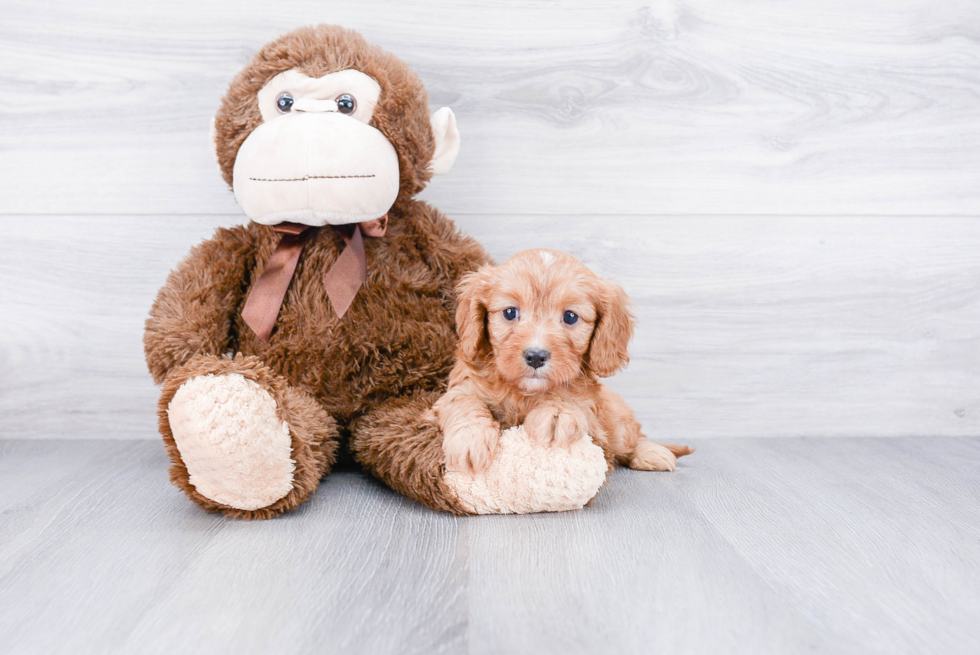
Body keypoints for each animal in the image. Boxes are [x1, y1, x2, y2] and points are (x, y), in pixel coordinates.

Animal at [432, 249, 692, 474]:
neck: (525, 393)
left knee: (632, 439)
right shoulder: (459, 389)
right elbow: (465, 402)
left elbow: (572, 397)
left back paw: (651, 453)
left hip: (618, 421)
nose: (536, 356)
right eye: (509, 312)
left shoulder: (592, 412)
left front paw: (556, 413)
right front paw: (470, 439)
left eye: (570, 317)